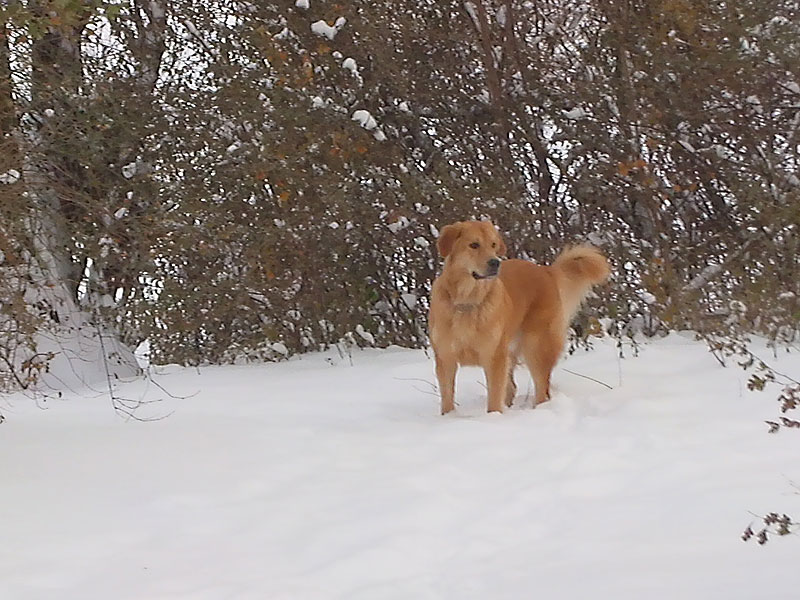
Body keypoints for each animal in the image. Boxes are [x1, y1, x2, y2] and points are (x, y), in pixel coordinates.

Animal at [428, 219, 608, 412]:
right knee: (513, 387)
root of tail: (545, 271)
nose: (495, 262)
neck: (468, 300)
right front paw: (449, 416)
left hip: (536, 346)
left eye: (493, 245)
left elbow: (494, 397)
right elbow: (447, 397)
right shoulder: (445, 357)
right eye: (474, 245)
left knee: (542, 389)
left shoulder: (494, 357)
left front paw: (493, 416)